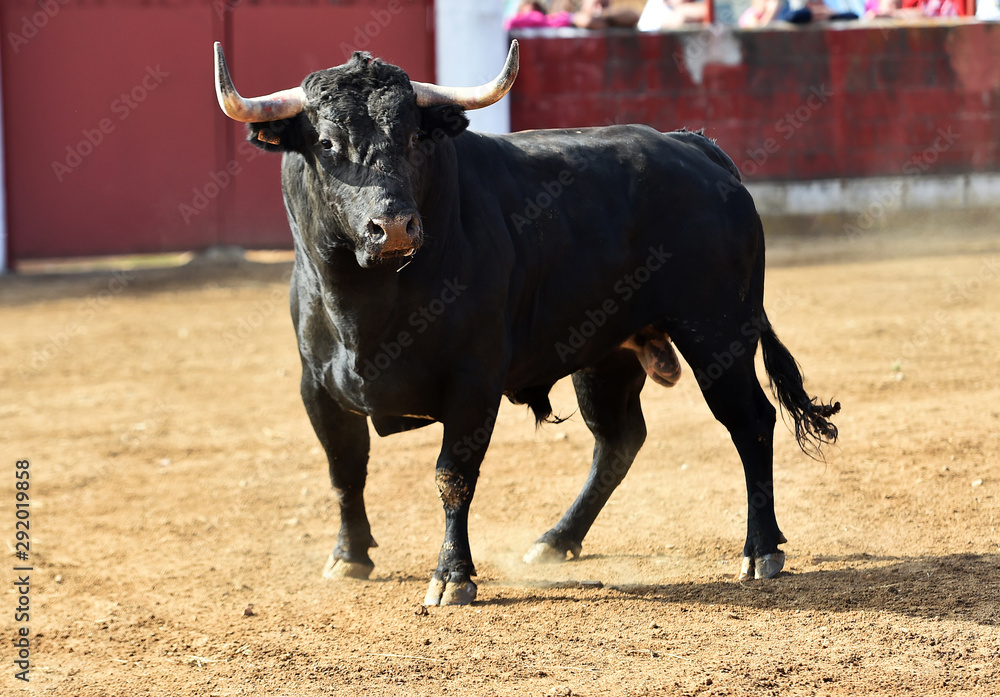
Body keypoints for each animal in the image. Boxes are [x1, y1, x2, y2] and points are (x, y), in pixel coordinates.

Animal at [213, 40, 839, 606]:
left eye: (413, 137)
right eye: (326, 143)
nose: (393, 227)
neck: (367, 303)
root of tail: (695, 148)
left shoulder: (473, 383)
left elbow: (452, 476)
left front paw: (452, 577)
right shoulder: (317, 387)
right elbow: (345, 470)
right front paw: (349, 557)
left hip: (718, 333)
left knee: (750, 421)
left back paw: (761, 549)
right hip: (607, 354)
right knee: (618, 441)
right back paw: (556, 540)